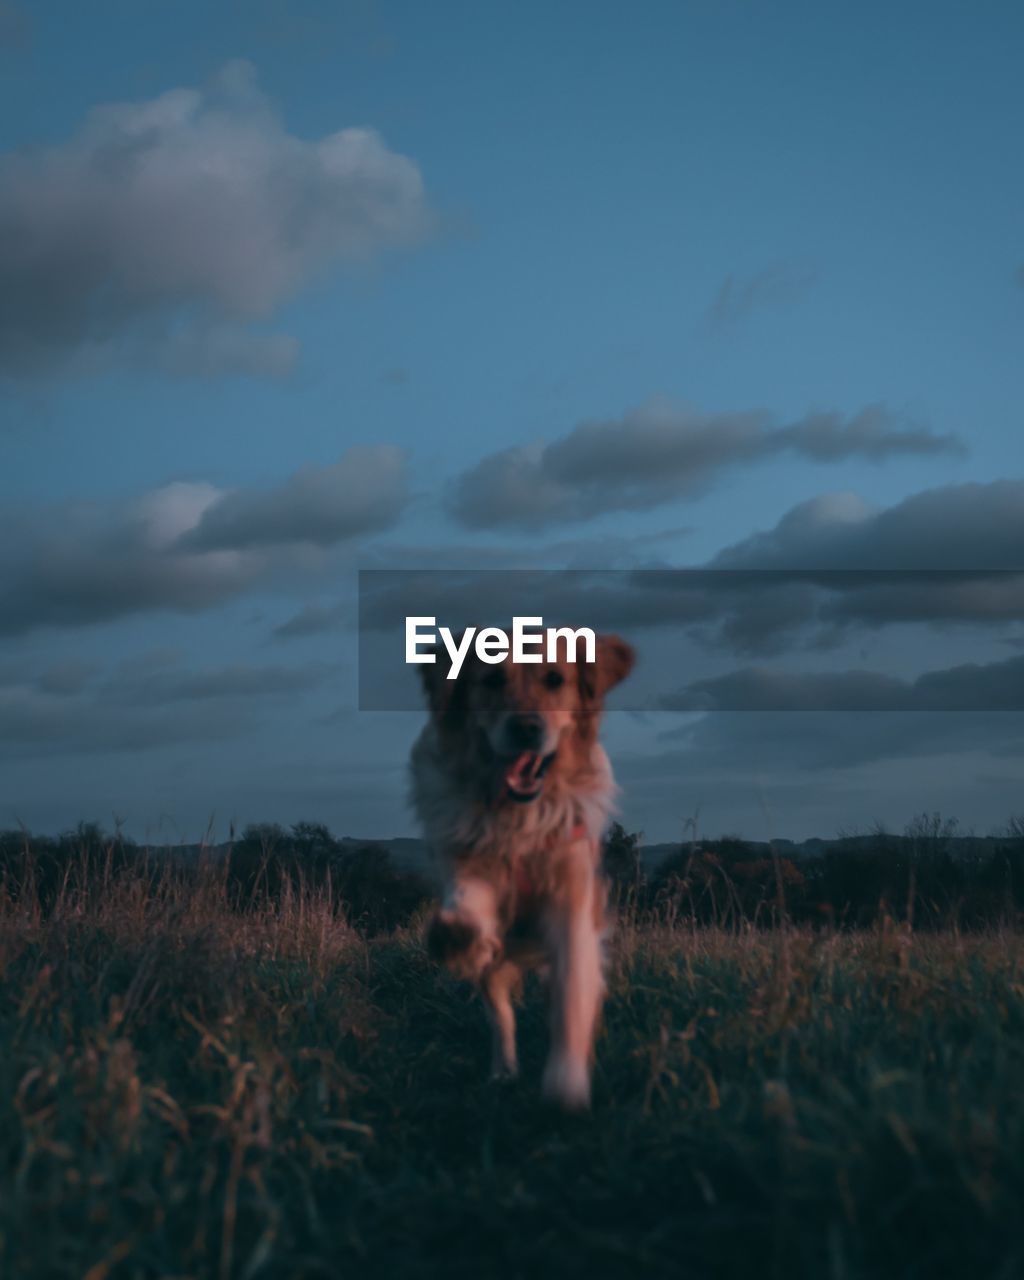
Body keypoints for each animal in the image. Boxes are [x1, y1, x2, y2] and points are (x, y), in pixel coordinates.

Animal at [407, 632, 632, 1111]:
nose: (526, 727)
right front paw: (458, 933)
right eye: (492, 679)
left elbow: (572, 998)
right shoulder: (468, 861)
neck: (519, 820)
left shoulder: (572, 902)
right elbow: (469, 898)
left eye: (555, 679)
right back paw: (504, 1070)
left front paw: (566, 1081)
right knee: (501, 1015)